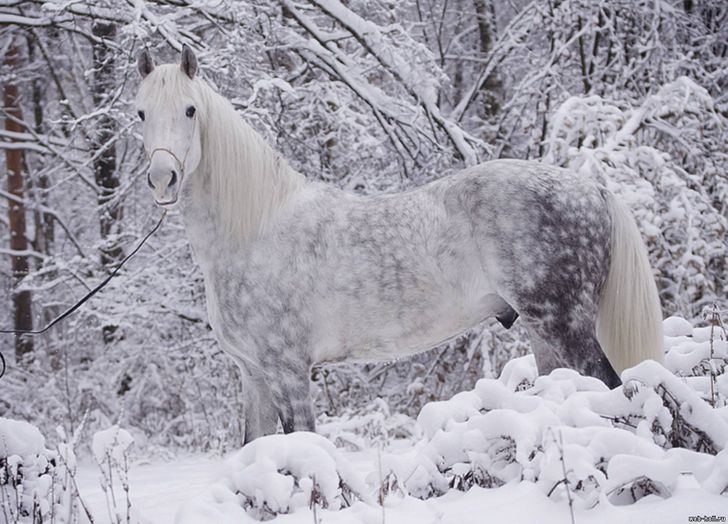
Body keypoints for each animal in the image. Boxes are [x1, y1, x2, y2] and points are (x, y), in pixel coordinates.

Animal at [134, 46, 663, 443]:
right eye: (140, 112)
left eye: (190, 110)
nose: (162, 180)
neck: (255, 230)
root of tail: (591, 189)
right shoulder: (254, 376)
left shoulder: (287, 371)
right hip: (544, 333)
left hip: (567, 328)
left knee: (615, 390)